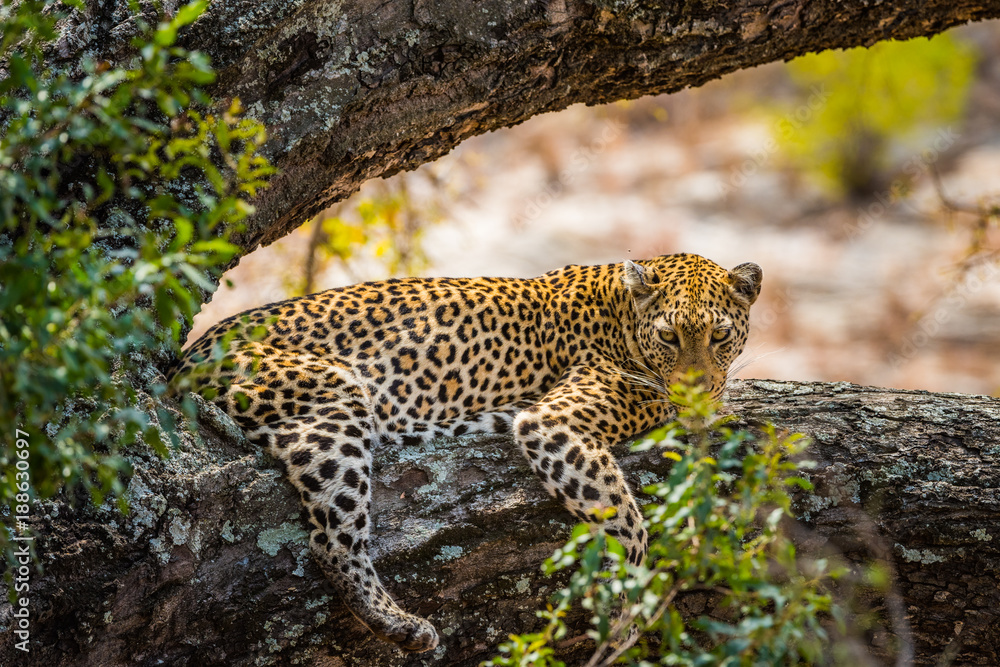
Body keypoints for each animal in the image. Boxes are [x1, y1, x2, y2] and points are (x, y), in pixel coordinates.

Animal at [168, 252, 762, 653]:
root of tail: (185, 358)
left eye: (719, 336)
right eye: (669, 337)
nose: (695, 389)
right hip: (335, 392)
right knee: (332, 541)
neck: (621, 315)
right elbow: (630, 527)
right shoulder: (551, 423)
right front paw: (628, 614)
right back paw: (399, 623)